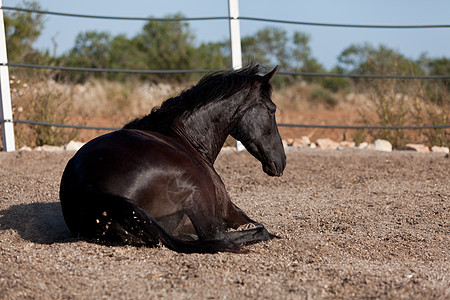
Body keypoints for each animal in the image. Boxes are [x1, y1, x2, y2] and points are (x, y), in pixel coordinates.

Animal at [59, 65, 284, 253]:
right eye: (272, 109)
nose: (281, 161)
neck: (186, 137)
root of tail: (86, 185)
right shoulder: (230, 211)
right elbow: (257, 226)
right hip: (196, 191)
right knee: (218, 236)